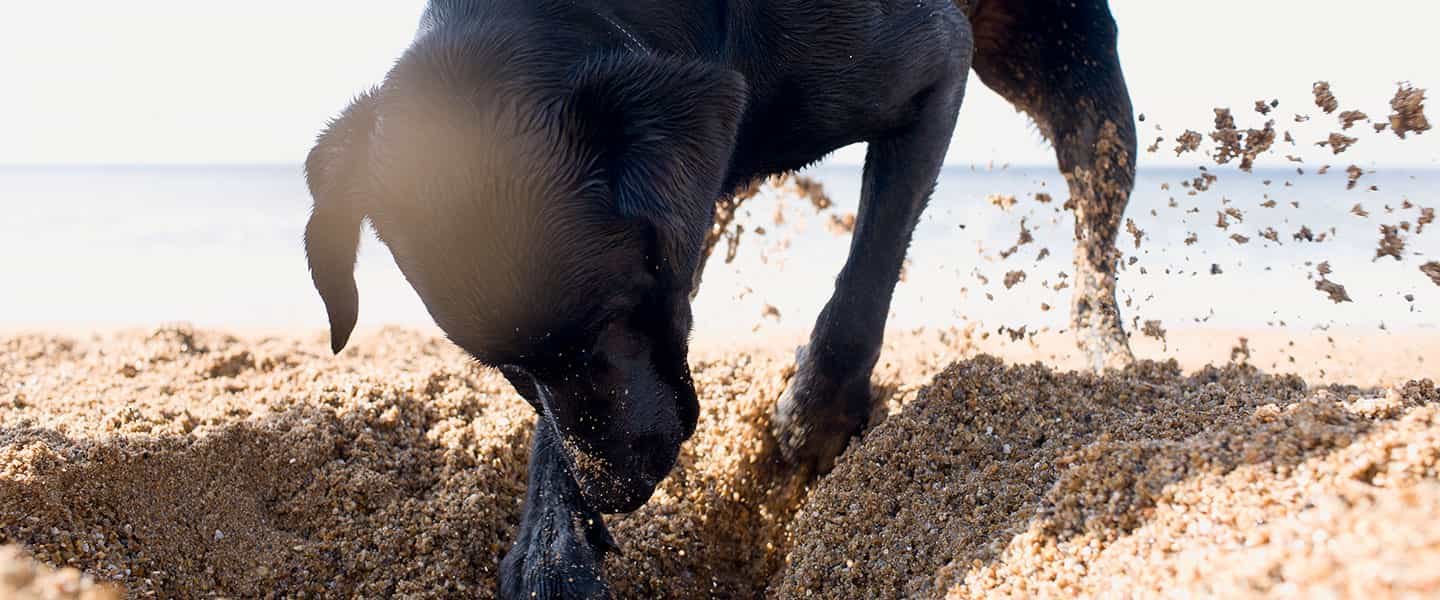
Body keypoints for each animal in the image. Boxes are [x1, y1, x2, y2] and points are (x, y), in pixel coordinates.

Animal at [303, 0, 1134, 592]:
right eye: (502, 367)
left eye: (615, 313)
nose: (618, 493)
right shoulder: (697, 193)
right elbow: (553, 432)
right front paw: (553, 548)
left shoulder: (935, 65)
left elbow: (865, 277)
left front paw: (814, 416)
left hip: (1074, 72)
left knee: (1095, 213)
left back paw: (1104, 349)